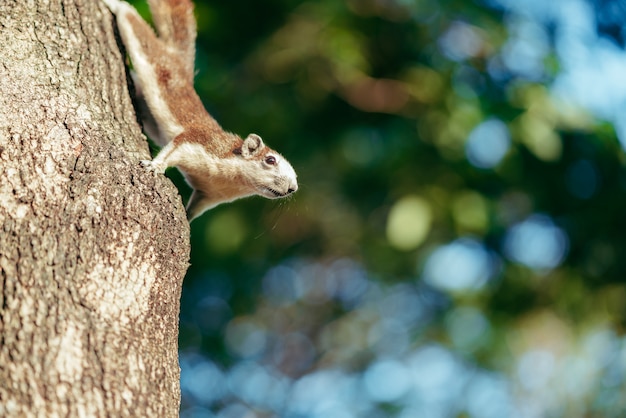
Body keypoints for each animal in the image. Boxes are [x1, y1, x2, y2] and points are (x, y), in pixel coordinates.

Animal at [102, 0, 298, 220]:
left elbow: (194, 208)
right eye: (270, 160)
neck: (232, 181)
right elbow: (173, 149)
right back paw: (116, 5)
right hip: (156, 60)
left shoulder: (208, 194)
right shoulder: (198, 142)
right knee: (135, 25)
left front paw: (188, 221)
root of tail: (182, 65)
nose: (292, 188)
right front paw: (155, 166)